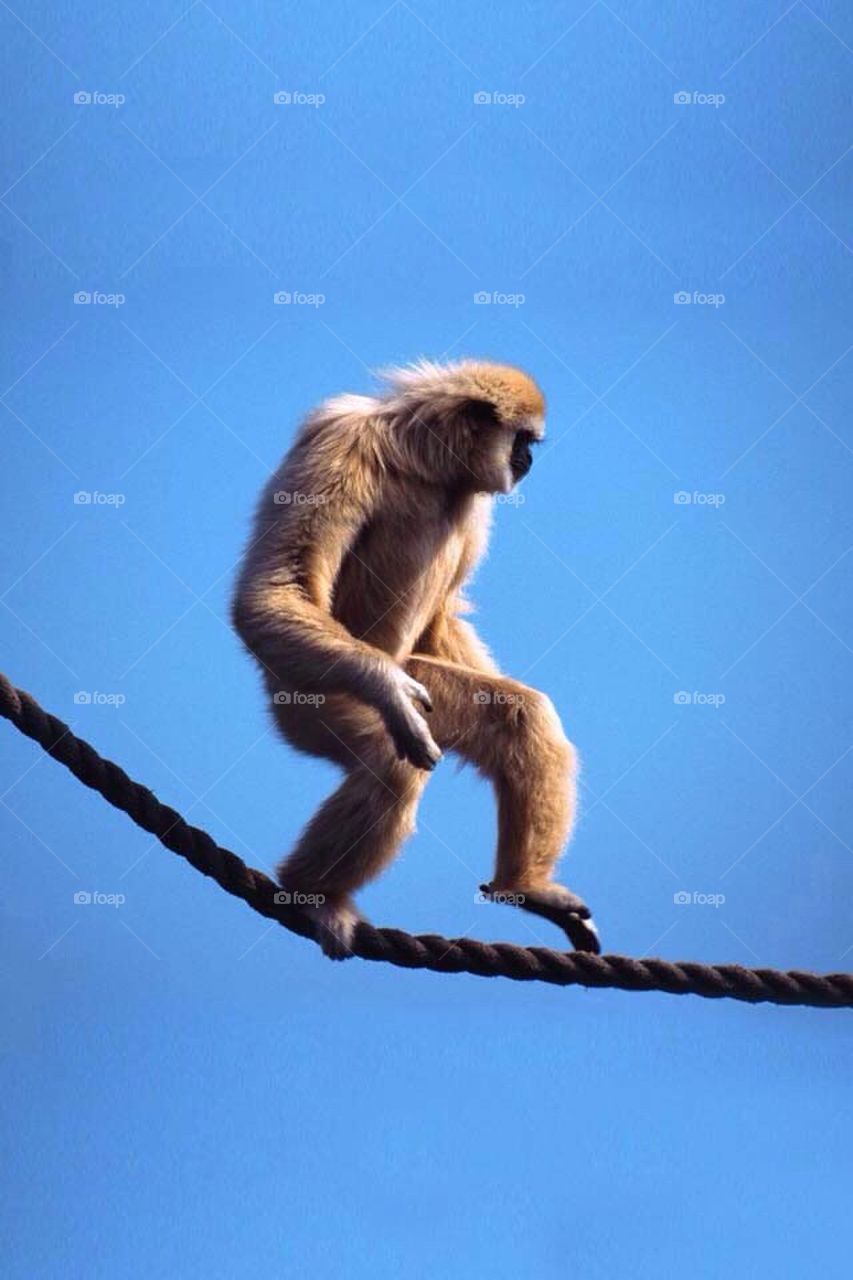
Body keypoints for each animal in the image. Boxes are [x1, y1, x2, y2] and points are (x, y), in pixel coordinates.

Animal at [231, 359, 600, 959]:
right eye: (523, 441)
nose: (527, 461)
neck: (420, 461)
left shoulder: (472, 499)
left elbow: (443, 618)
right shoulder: (340, 440)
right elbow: (273, 590)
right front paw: (388, 689)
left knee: (520, 716)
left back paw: (524, 886)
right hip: (310, 696)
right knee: (391, 762)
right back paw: (313, 895)